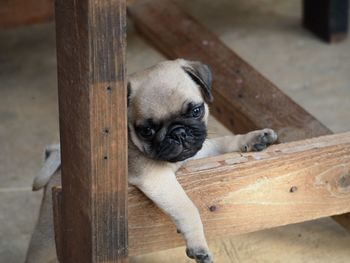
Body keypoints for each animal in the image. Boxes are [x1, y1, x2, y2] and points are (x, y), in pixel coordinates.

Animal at [24, 59, 278, 263]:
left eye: (196, 111)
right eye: (147, 130)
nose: (178, 133)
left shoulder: (195, 152)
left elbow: (223, 142)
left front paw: (253, 138)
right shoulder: (155, 177)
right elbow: (188, 208)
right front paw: (198, 245)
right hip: (47, 240)